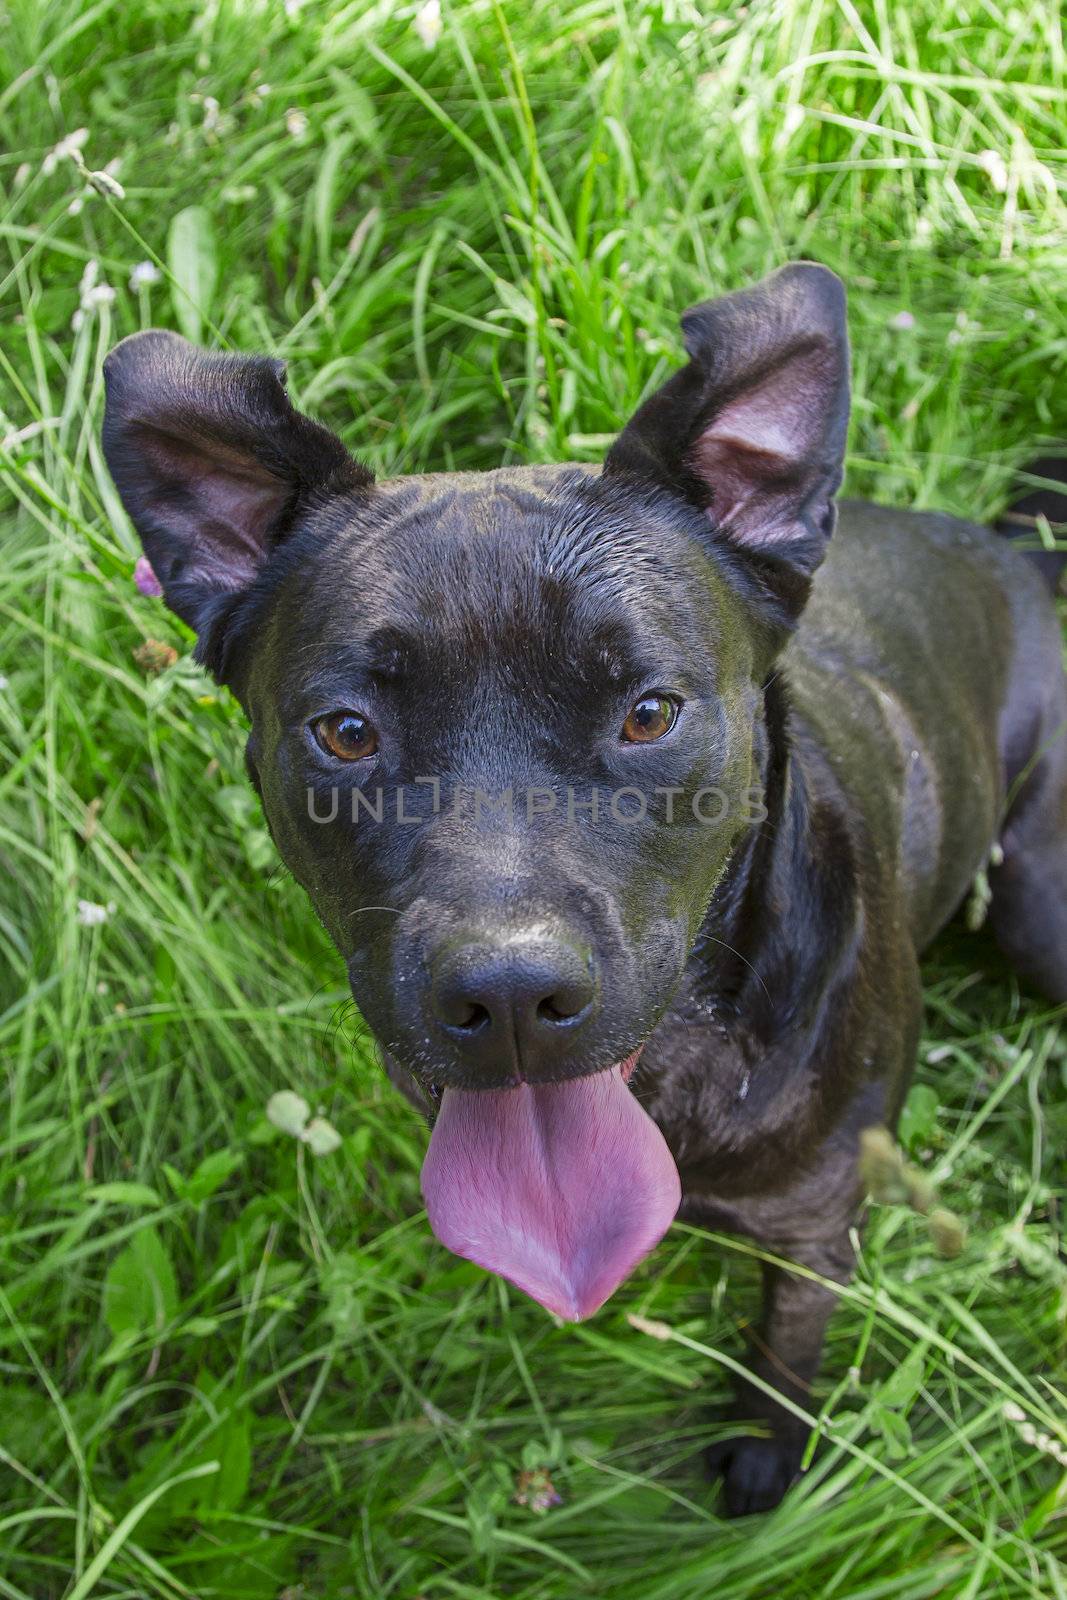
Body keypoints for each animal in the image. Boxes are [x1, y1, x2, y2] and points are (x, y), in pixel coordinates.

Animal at [102, 265, 1067, 1510]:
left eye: (648, 712)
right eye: (346, 732)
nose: (510, 996)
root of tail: (1014, 553)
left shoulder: (815, 1225)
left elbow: (785, 1350)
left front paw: (767, 1454)